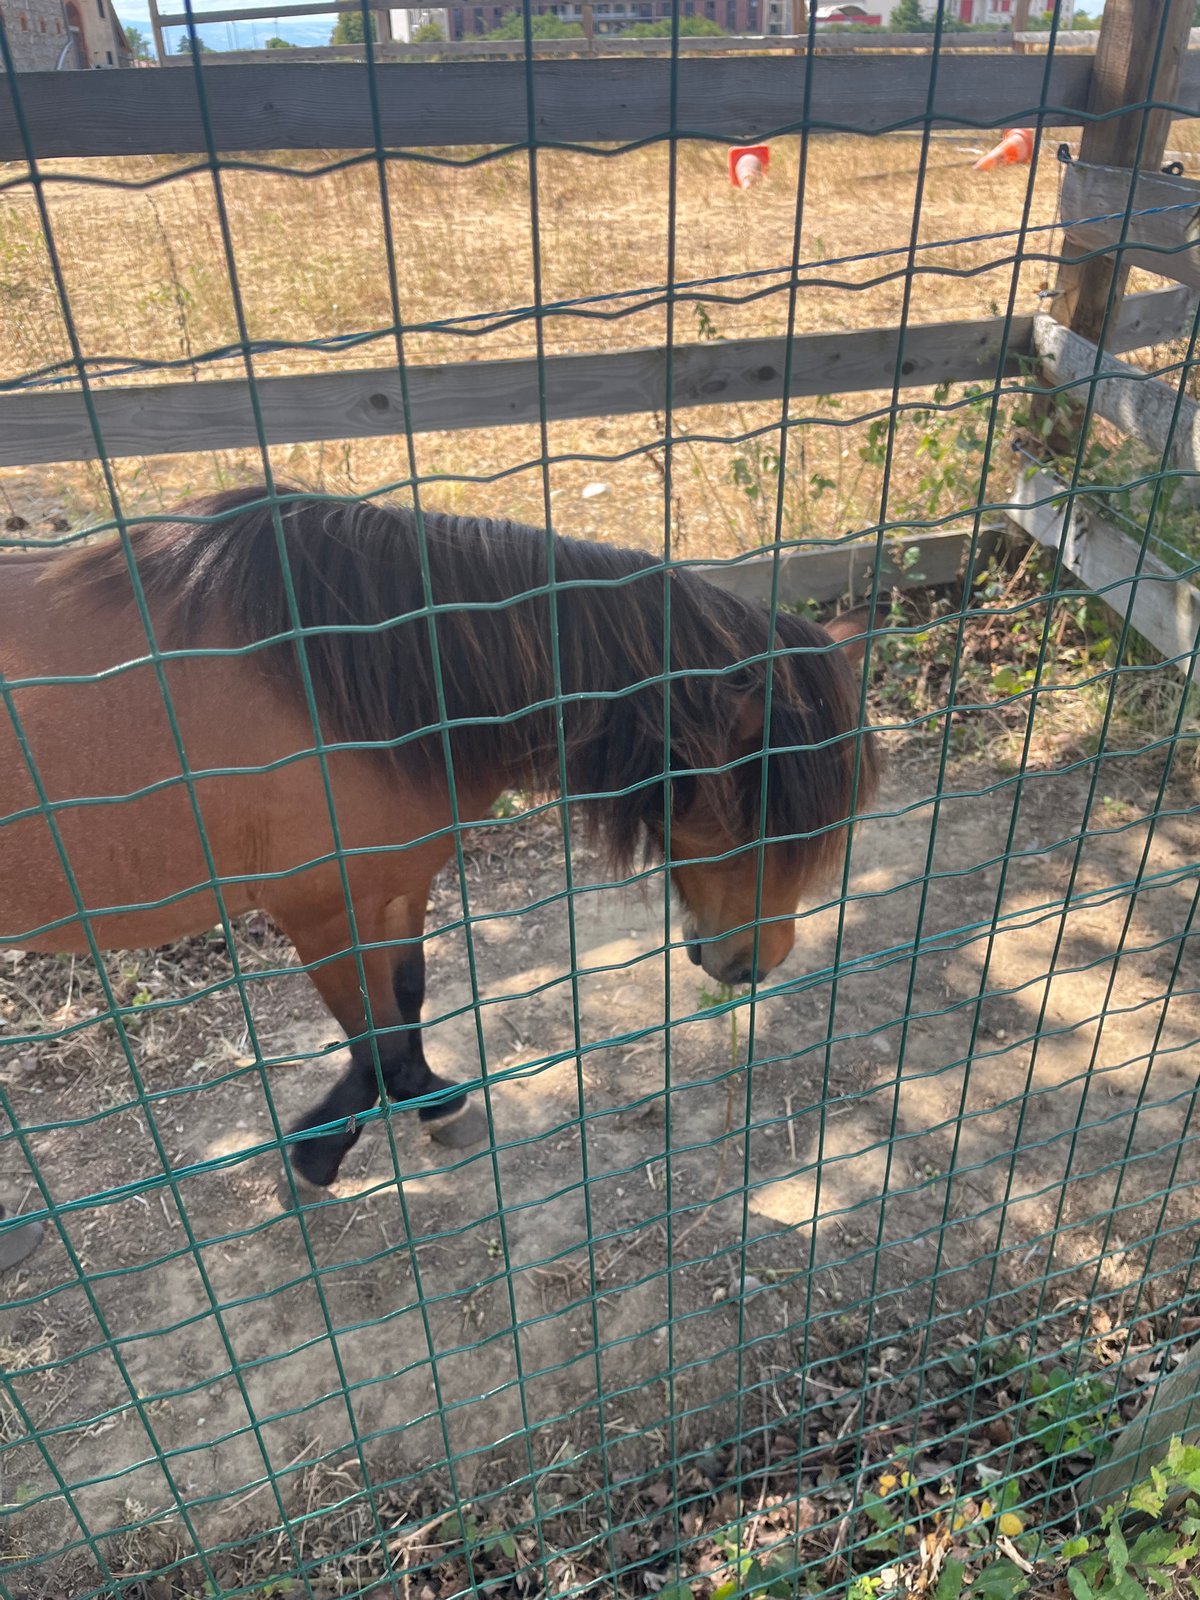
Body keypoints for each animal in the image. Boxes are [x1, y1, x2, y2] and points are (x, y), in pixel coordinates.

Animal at [0, 486, 879, 1191]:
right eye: (751, 808)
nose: (755, 963)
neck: (343, 677)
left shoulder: (399, 887)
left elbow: (405, 1000)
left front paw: (426, 1101)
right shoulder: (321, 912)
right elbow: (374, 1036)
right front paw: (320, 1151)